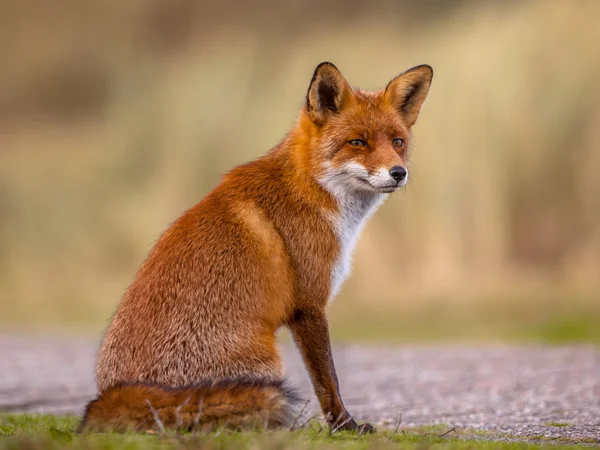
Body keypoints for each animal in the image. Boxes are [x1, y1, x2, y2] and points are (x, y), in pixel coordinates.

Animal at [82, 61, 434, 434]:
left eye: (397, 142)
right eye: (358, 142)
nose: (398, 172)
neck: (310, 188)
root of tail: (118, 394)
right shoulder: (308, 305)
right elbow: (328, 381)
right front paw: (345, 427)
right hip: (268, 364)